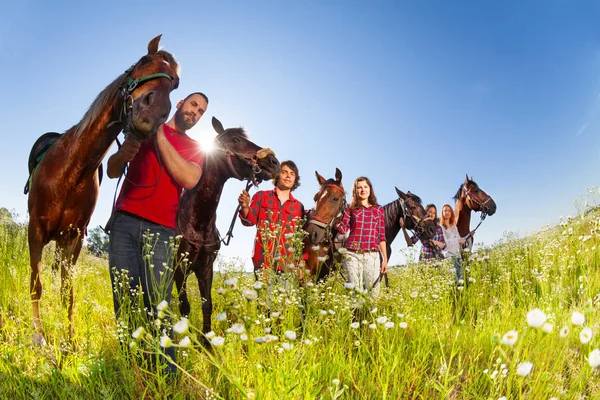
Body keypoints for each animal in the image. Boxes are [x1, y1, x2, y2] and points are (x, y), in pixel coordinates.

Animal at [25, 36, 179, 346]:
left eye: (176, 83)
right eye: (144, 61)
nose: (152, 113)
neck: (72, 169)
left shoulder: (74, 240)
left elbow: (67, 292)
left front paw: (69, 339)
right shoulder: (35, 229)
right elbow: (37, 285)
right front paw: (40, 338)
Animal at [176, 116, 282, 334]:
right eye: (235, 140)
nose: (274, 163)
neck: (197, 222)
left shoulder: (206, 267)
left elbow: (206, 305)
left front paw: (206, 339)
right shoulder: (179, 269)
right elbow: (184, 307)